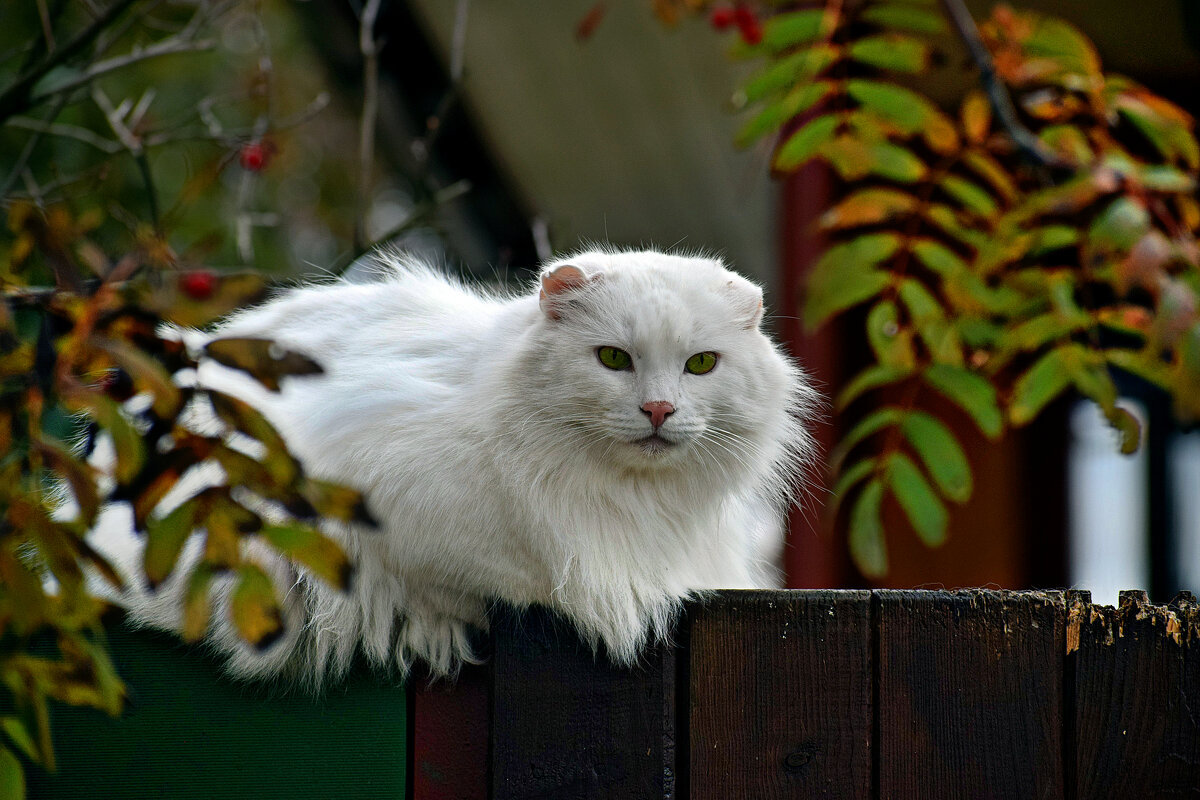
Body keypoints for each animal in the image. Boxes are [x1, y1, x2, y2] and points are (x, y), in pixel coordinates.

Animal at [84, 248, 820, 690]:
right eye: (613, 359)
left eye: (701, 365)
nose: (660, 409)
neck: (615, 497)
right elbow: (461, 576)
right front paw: (437, 628)